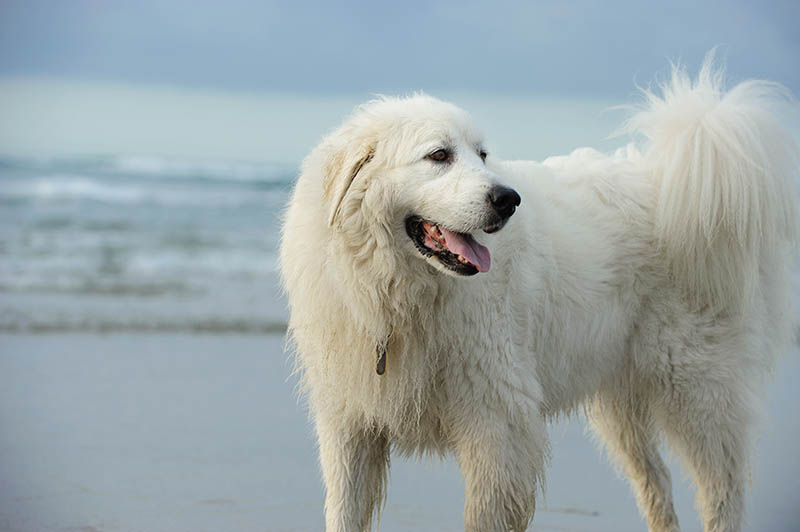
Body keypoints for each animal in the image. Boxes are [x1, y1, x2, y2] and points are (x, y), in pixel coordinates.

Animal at [278, 58, 796, 532]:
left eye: (482, 155)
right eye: (439, 155)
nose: (508, 200)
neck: (398, 293)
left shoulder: (497, 426)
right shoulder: (350, 427)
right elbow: (343, 513)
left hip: (697, 387)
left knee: (722, 492)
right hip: (622, 405)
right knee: (657, 484)